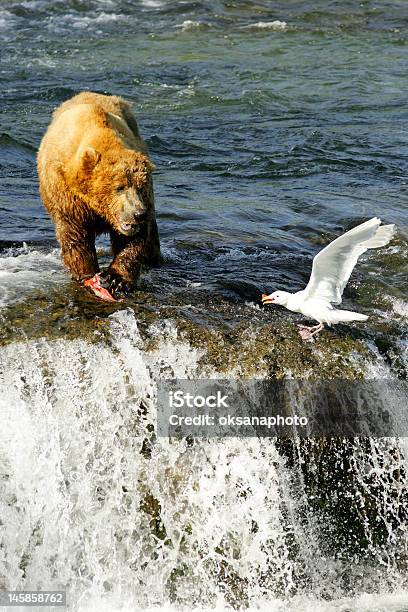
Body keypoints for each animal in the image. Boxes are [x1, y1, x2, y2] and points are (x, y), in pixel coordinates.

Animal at [36, 91, 160, 298]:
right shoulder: (66, 195)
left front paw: (117, 278)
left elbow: (133, 239)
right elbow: (75, 235)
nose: (138, 214)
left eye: (141, 187)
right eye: (119, 187)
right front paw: (87, 274)